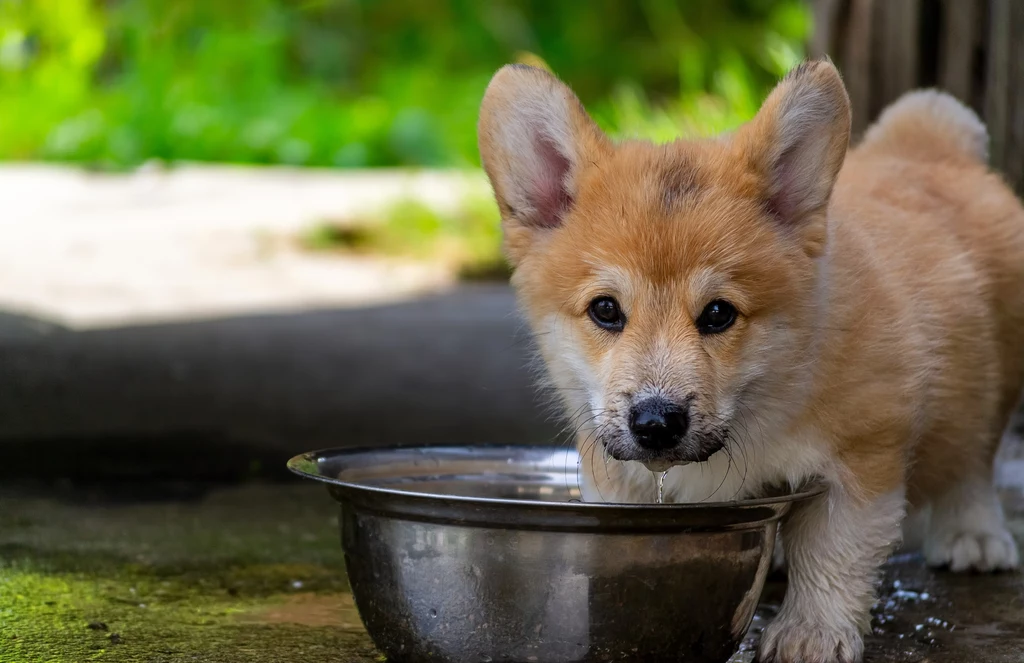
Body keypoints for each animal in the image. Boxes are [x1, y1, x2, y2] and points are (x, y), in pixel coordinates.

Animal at [475, 59, 1024, 659]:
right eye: (605, 310)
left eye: (718, 314)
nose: (656, 424)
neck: (763, 404)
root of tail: (930, 143)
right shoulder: (615, 474)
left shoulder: (863, 460)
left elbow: (833, 559)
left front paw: (811, 634)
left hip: (990, 390)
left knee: (973, 462)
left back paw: (973, 534)